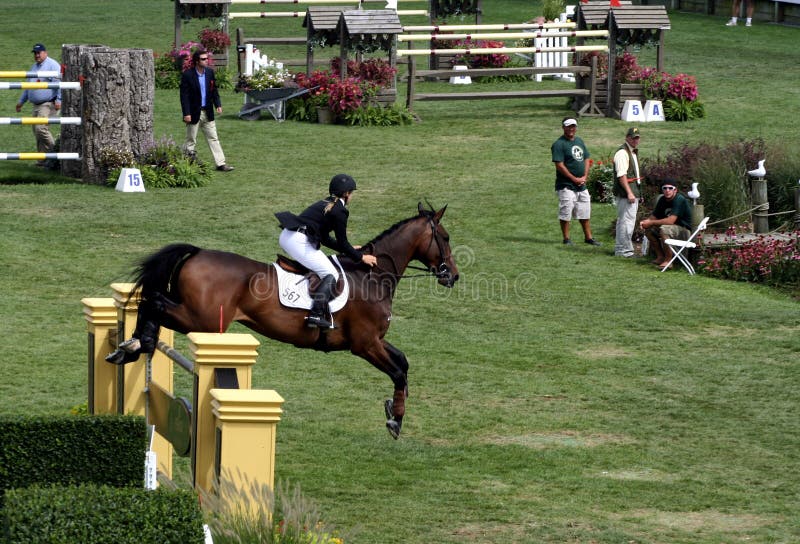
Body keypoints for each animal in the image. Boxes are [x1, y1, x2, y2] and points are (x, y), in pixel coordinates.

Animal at [108, 204, 458, 439]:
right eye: (444, 236)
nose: (452, 276)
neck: (373, 276)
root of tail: (197, 253)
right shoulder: (365, 344)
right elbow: (398, 371)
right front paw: (395, 420)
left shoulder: (376, 341)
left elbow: (404, 362)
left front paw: (393, 410)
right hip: (202, 320)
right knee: (154, 302)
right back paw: (138, 343)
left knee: (152, 301)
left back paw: (130, 346)